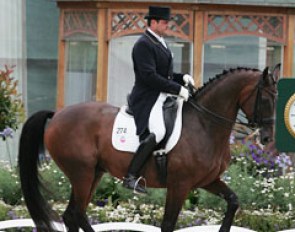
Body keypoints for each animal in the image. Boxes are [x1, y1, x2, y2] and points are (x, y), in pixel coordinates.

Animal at [17, 65, 280, 232]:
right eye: (267, 99)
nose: (267, 138)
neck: (205, 125)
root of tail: (57, 114)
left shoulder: (207, 180)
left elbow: (233, 202)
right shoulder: (179, 185)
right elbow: (168, 224)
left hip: (93, 173)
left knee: (72, 215)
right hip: (81, 173)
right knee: (76, 213)